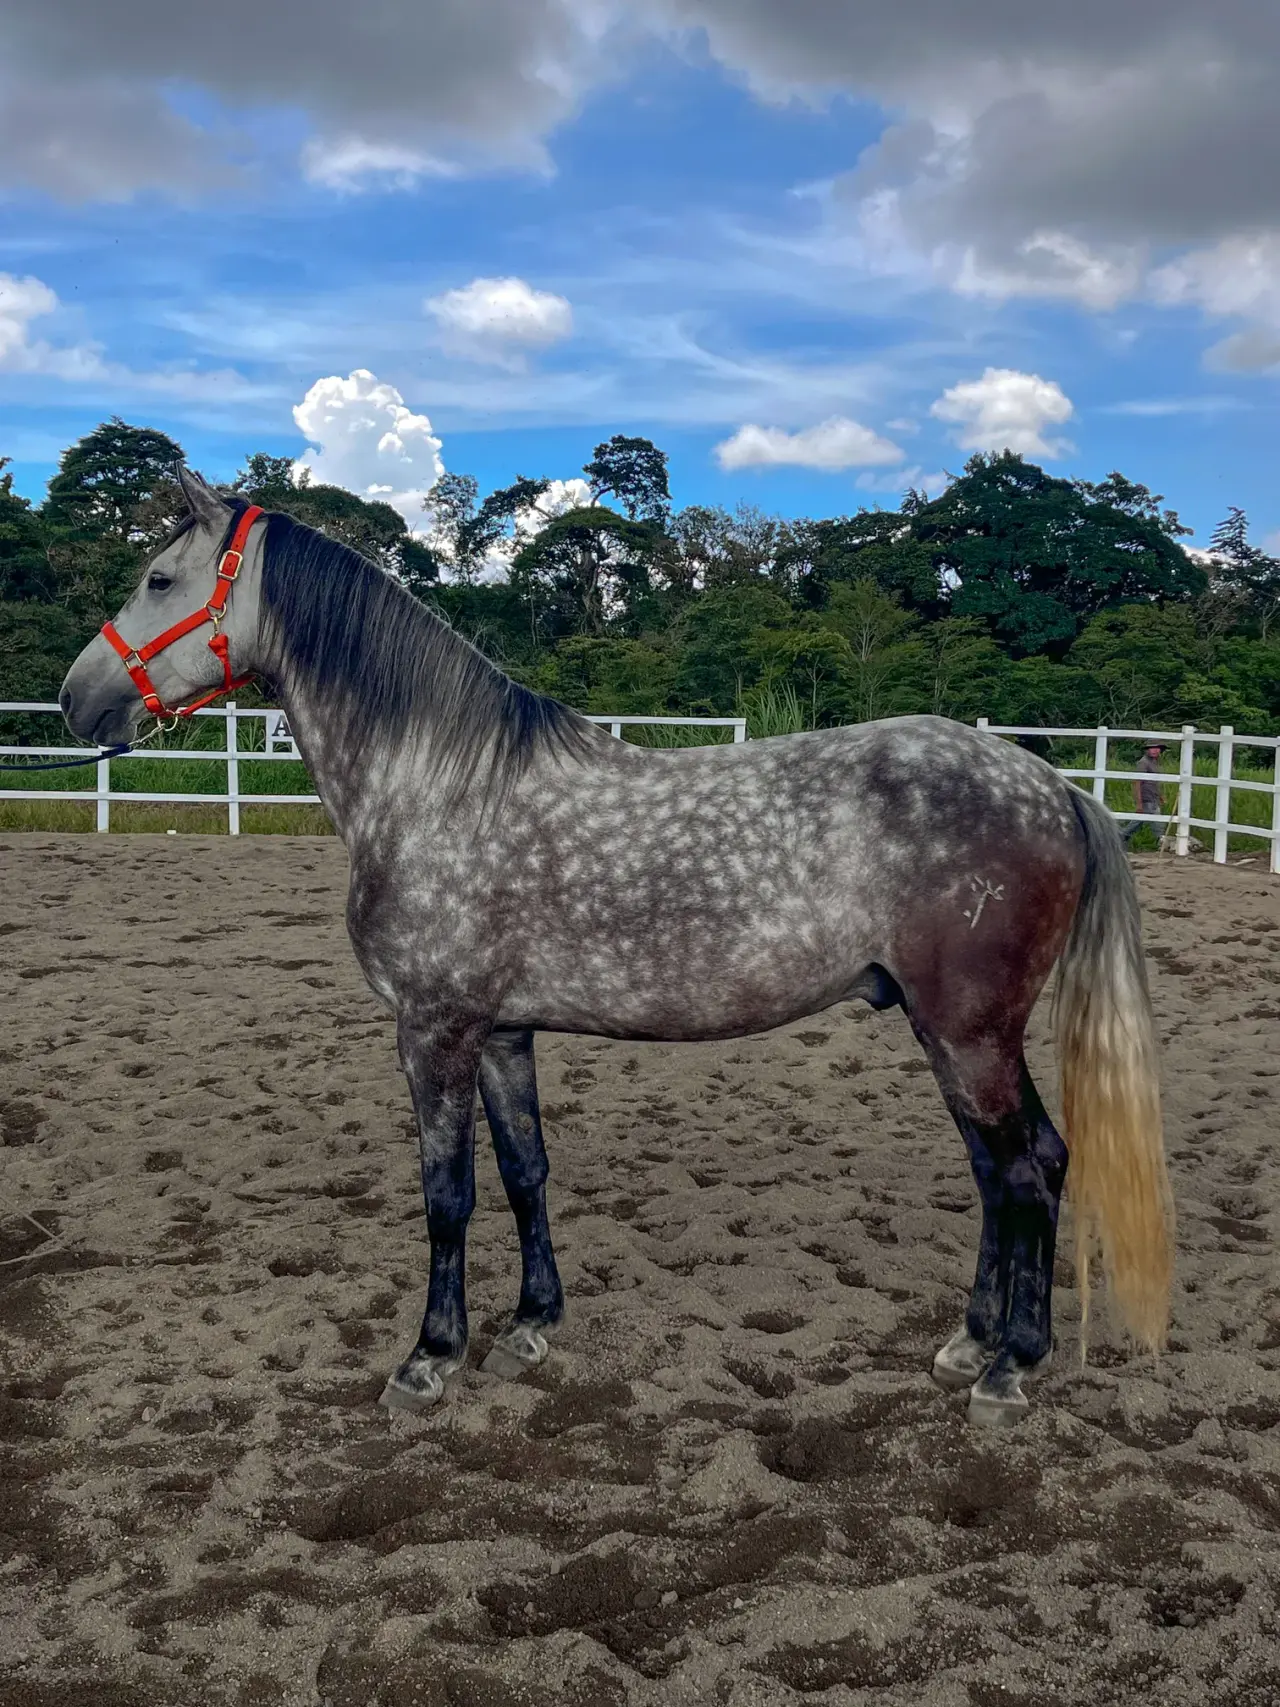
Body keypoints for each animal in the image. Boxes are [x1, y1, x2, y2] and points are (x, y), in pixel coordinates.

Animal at [59, 468, 1174, 1428]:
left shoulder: (434, 1030)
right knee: (999, 1172)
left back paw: (1009, 1368)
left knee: (1029, 1169)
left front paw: (428, 1357)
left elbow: (446, 1194)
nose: (76, 698)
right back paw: (967, 1342)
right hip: (947, 1033)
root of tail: (1054, 785)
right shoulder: (502, 1032)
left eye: (160, 579)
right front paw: (529, 1327)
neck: (436, 785)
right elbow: (525, 1171)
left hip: (971, 1031)